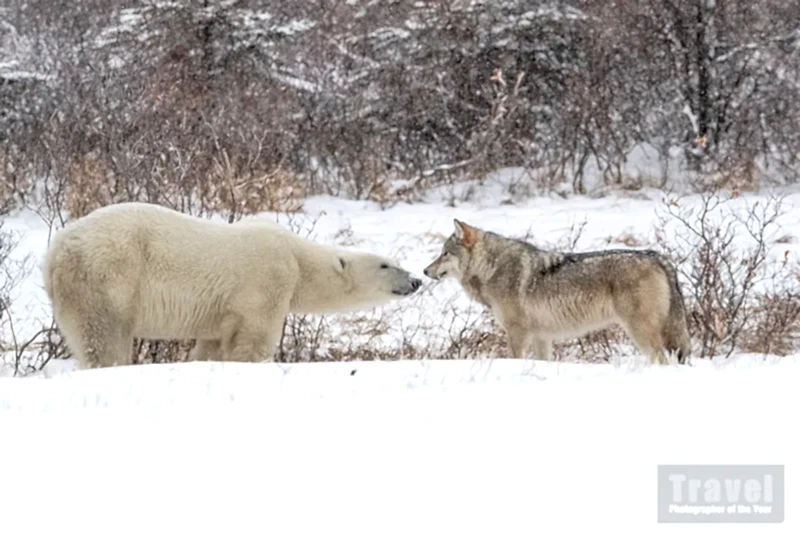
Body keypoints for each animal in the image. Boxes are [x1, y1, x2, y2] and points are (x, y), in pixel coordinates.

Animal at [42, 203, 424, 370]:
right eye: (386, 264)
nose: (416, 280)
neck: (297, 258)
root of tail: (57, 248)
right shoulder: (267, 280)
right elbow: (254, 339)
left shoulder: (219, 312)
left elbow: (212, 344)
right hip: (107, 274)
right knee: (104, 335)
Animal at [422, 220, 692, 366]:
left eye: (445, 253)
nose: (425, 271)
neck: (493, 268)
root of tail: (657, 257)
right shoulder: (542, 337)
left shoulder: (517, 333)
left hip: (640, 332)